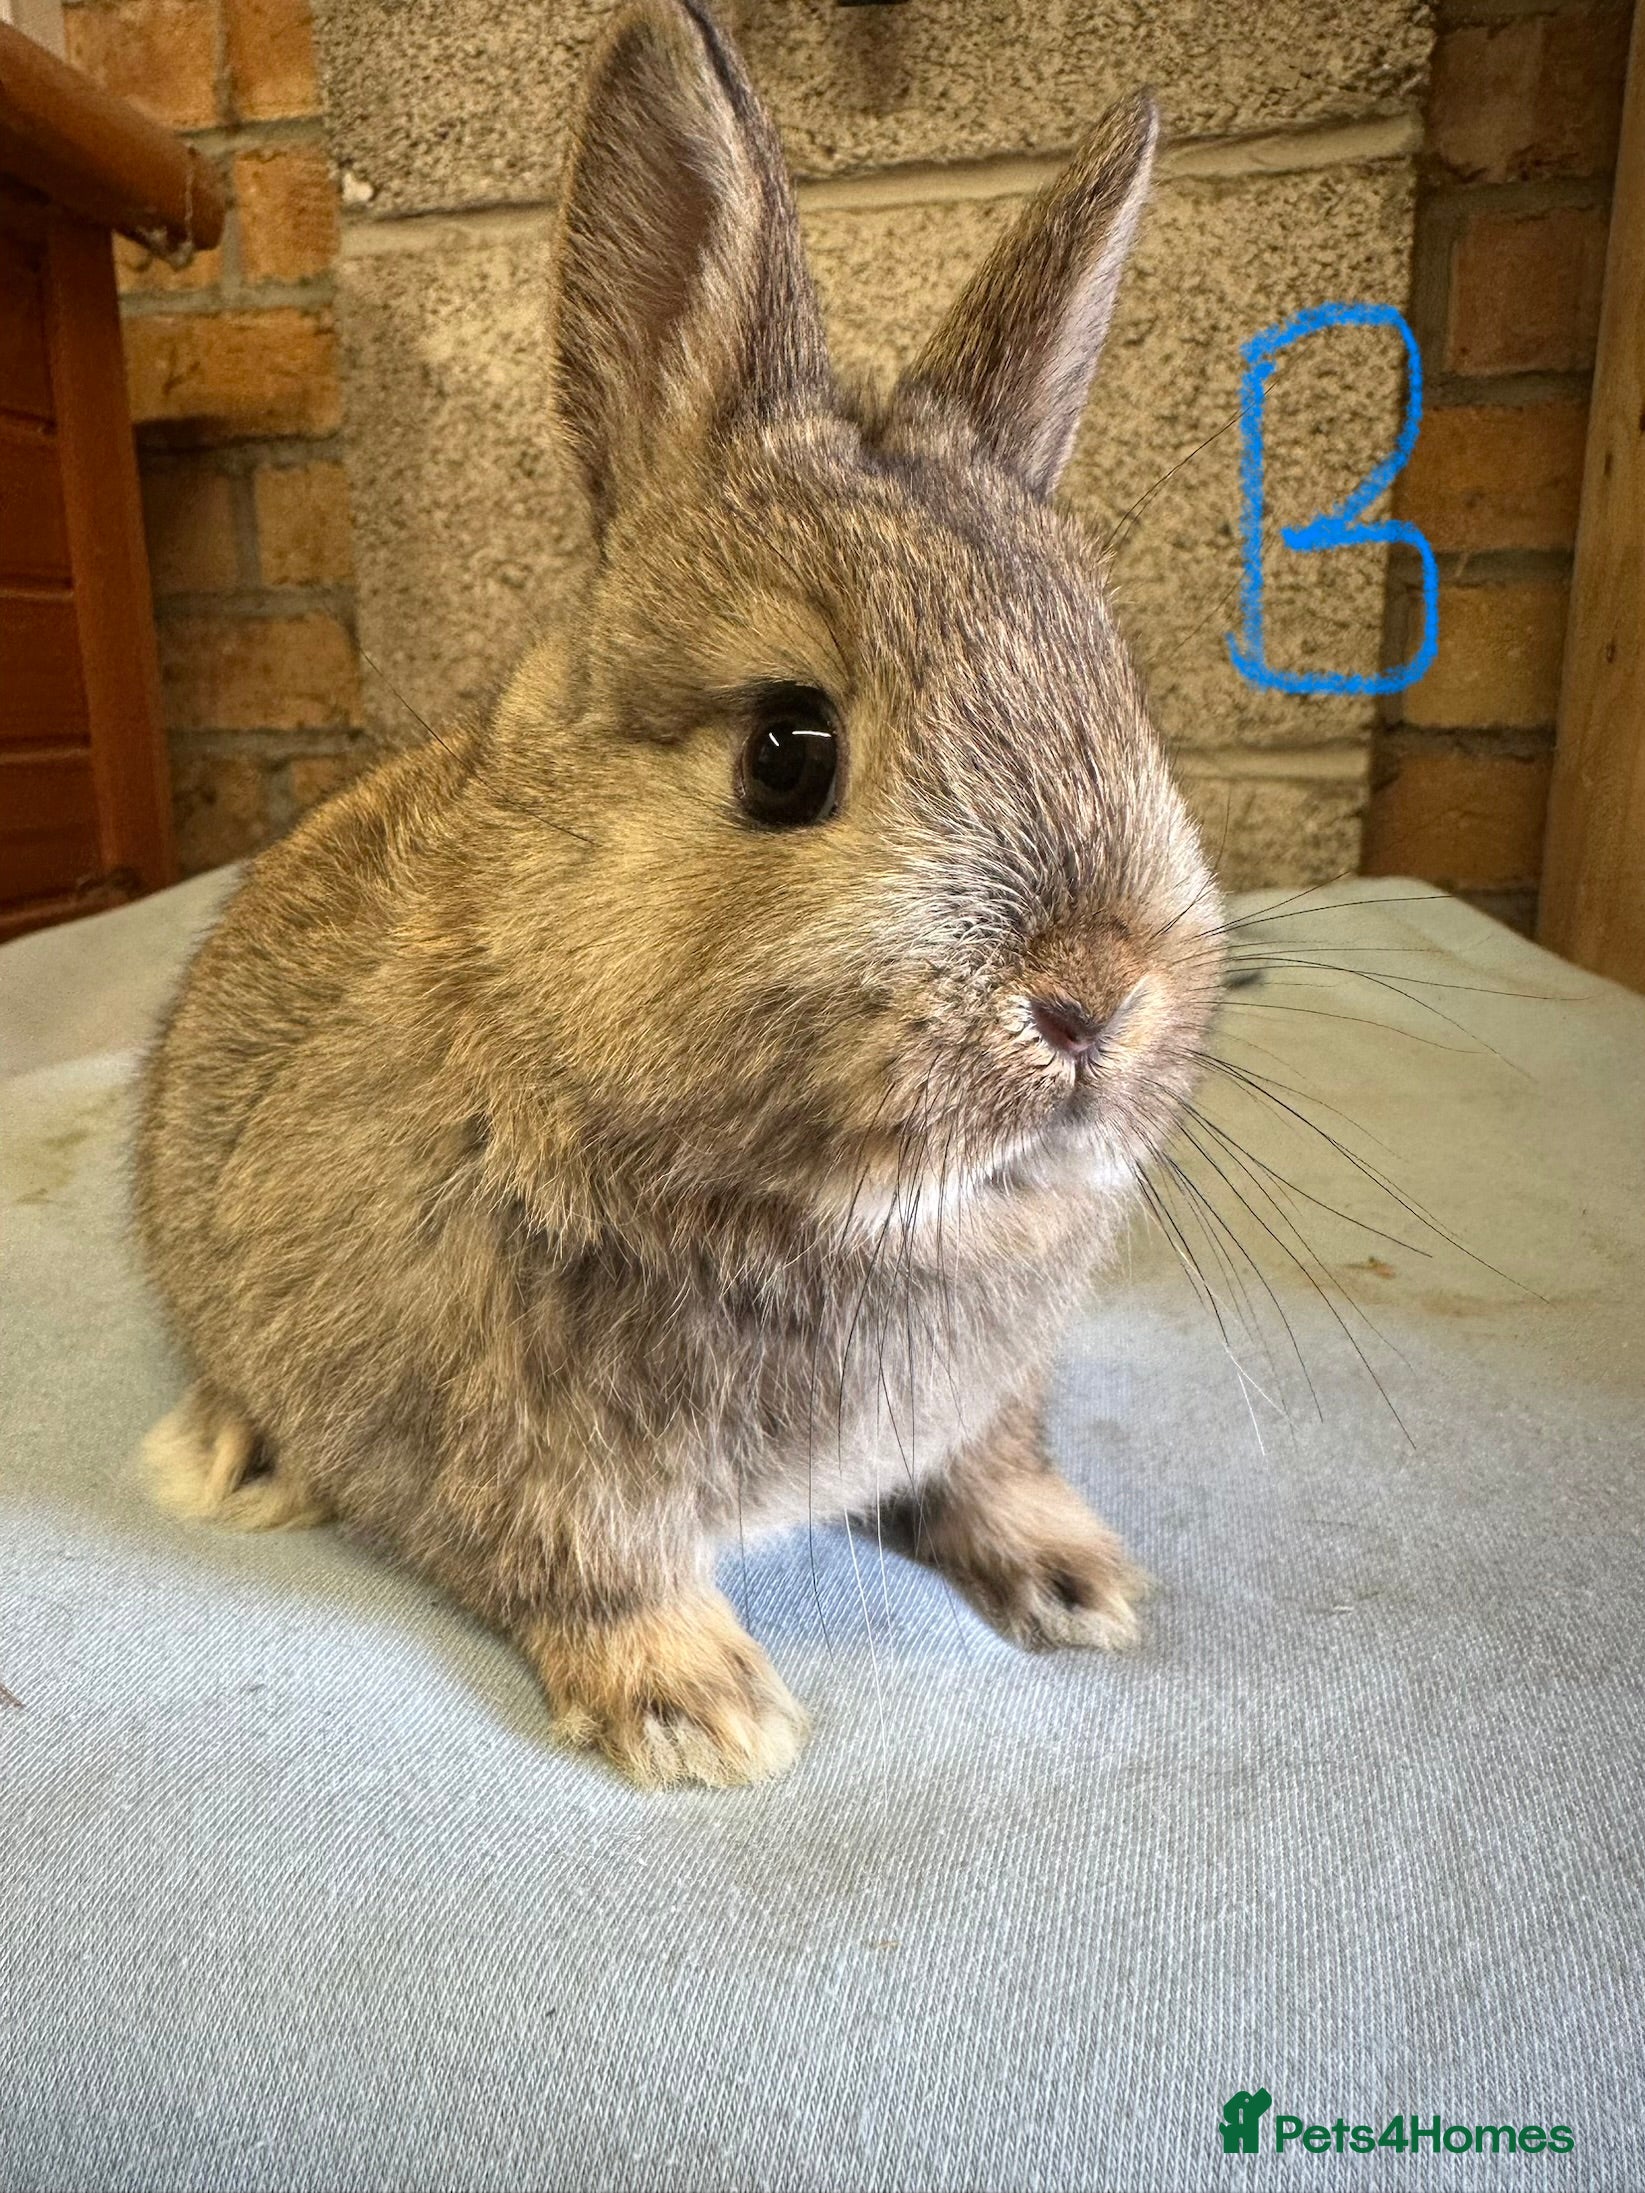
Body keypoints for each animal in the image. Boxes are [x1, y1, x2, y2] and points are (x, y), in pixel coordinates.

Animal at [134, 0, 1226, 1789]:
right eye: (788, 750)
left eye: (1120, 694)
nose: (1093, 995)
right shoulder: (528, 1452)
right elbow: (591, 1565)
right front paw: (704, 1715)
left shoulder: (988, 1394)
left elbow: (992, 1464)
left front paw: (1079, 1581)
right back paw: (233, 1453)